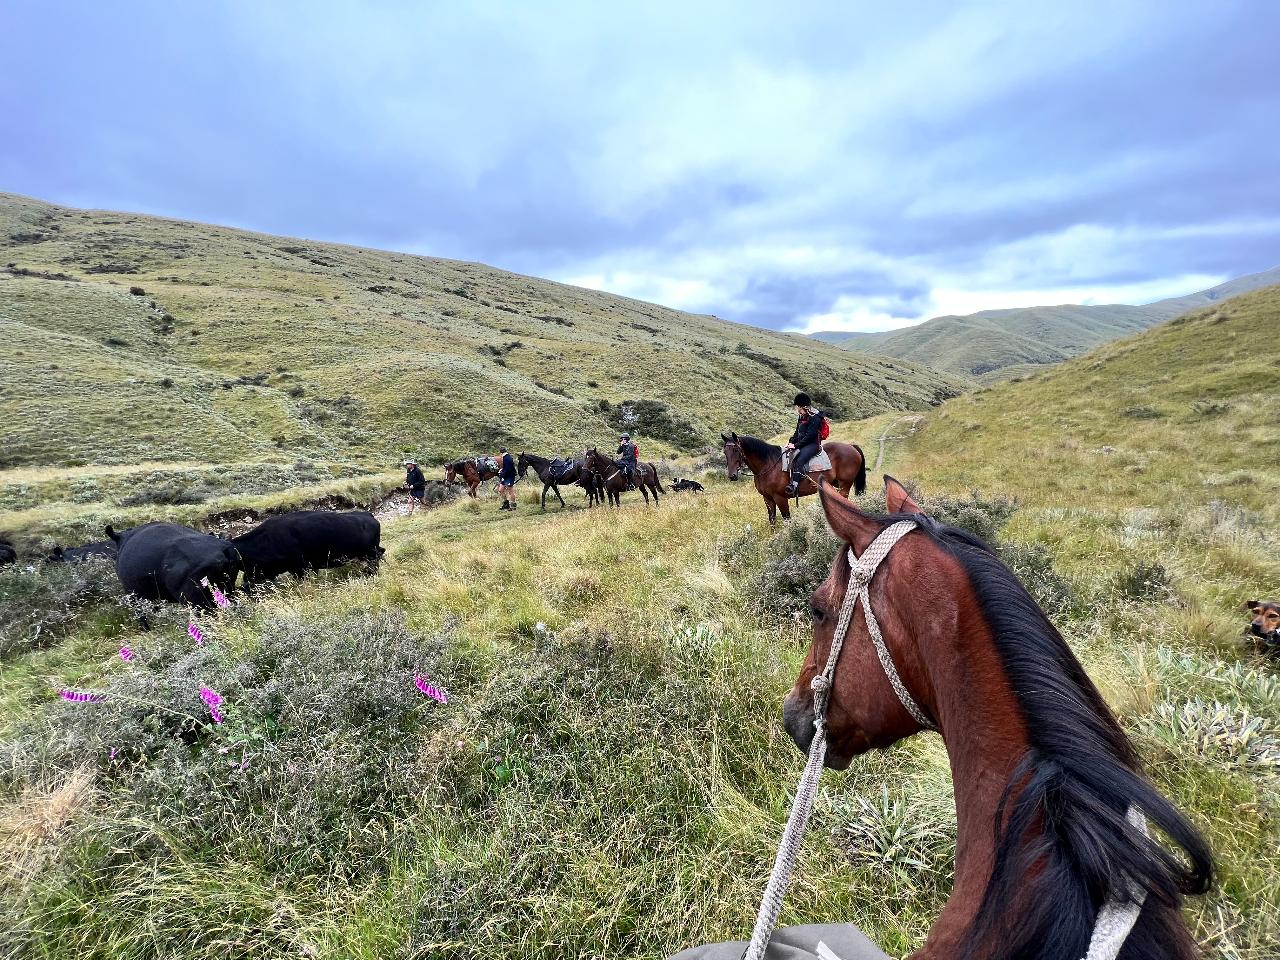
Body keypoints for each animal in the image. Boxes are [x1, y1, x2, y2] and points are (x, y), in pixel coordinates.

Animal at [721, 432, 870, 527]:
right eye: (725, 452)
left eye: (736, 450)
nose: (732, 476)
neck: (768, 464)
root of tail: (851, 446)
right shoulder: (767, 499)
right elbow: (772, 520)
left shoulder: (780, 498)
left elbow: (787, 519)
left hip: (845, 485)